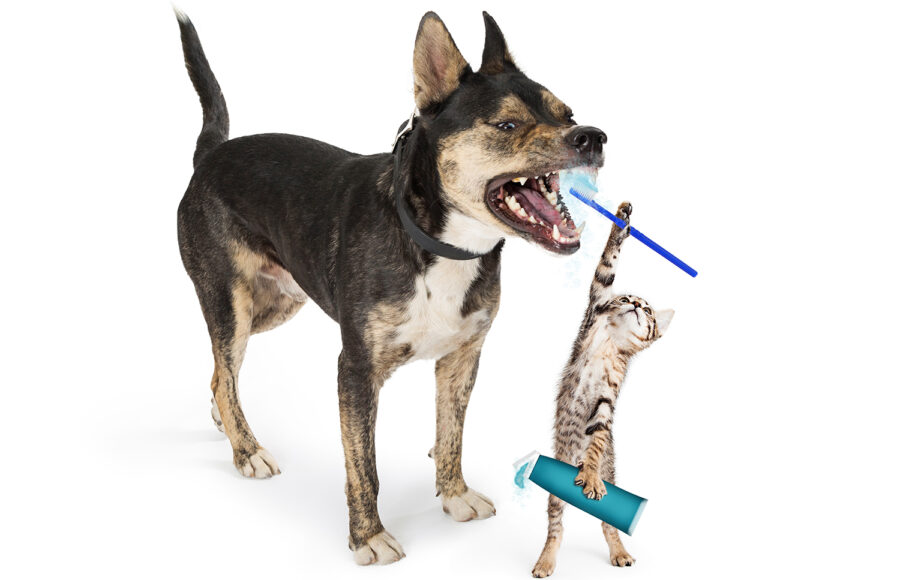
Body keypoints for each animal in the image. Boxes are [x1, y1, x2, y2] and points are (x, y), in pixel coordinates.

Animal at [173, 6, 608, 564]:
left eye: (567, 114)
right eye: (506, 124)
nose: (592, 137)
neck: (439, 243)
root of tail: (211, 155)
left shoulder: (463, 359)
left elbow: (451, 432)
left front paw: (454, 495)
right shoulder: (356, 370)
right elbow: (364, 466)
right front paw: (369, 537)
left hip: (275, 303)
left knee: (221, 374)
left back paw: (225, 421)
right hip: (231, 301)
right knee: (225, 365)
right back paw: (246, 449)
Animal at [532, 202, 672, 576]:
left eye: (648, 310)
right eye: (625, 298)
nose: (636, 305)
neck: (612, 343)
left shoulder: (607, 400)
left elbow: (596, 441)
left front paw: (591, 473)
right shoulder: (597, 302)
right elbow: (607, 265)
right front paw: (621, 222)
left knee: (609, 524)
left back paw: (619, 551)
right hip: (557, 487)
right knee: (555, 526)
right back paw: (545, 560)